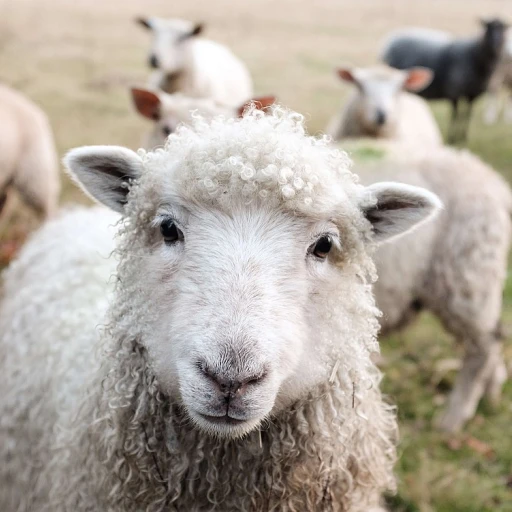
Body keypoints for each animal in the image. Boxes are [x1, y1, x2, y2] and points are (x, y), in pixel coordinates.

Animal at [380, 19, 508, 143]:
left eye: (503, 29)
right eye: (489, 28)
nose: (496, 43)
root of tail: (390, 39)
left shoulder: (472, 94)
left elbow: (467, 114)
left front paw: (463, 137)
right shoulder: (454, 92)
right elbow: (455, 115)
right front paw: (453, 138)